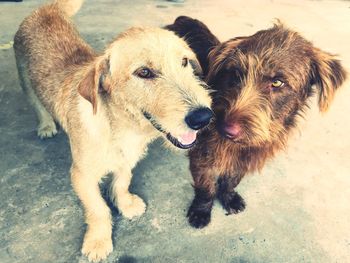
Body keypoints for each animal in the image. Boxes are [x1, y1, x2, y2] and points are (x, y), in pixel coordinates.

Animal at [14, 1, 213, 262]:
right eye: (144, 72)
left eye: (184, 62)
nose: (203, 117)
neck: (122, 126)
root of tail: (46, 10)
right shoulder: (81, 176)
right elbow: (98, 208)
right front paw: (98, 240)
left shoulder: (126, 160)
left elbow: (122, 182)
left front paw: (125, 204)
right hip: (25, 79)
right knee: (36, 103)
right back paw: (46, 124)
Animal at [167, 17, 348, 230]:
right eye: (236, 74)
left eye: (277, 82)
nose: (225, 128)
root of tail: (182, 18)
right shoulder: (202, 157)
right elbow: (206, 187)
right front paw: (201, 211)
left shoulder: (245, 159)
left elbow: (231, 180)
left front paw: (228, 197)